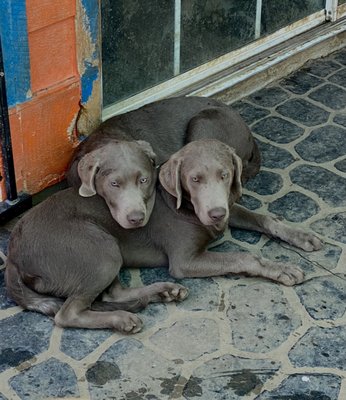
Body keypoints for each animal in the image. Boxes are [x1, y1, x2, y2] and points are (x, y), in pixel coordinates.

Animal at [5, 139, 324, 332]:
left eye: (225, 174)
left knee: (112, 292)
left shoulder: (230, 207)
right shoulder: (186, 260)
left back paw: (163, 292)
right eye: (194, 179)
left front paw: (300, 236)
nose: (216, 214)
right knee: (68, 313)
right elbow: (243, 256)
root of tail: (13, 255)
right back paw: (122, 318)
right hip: (98, 247)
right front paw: (281, 269)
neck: (183, 204)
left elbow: (266, 218)